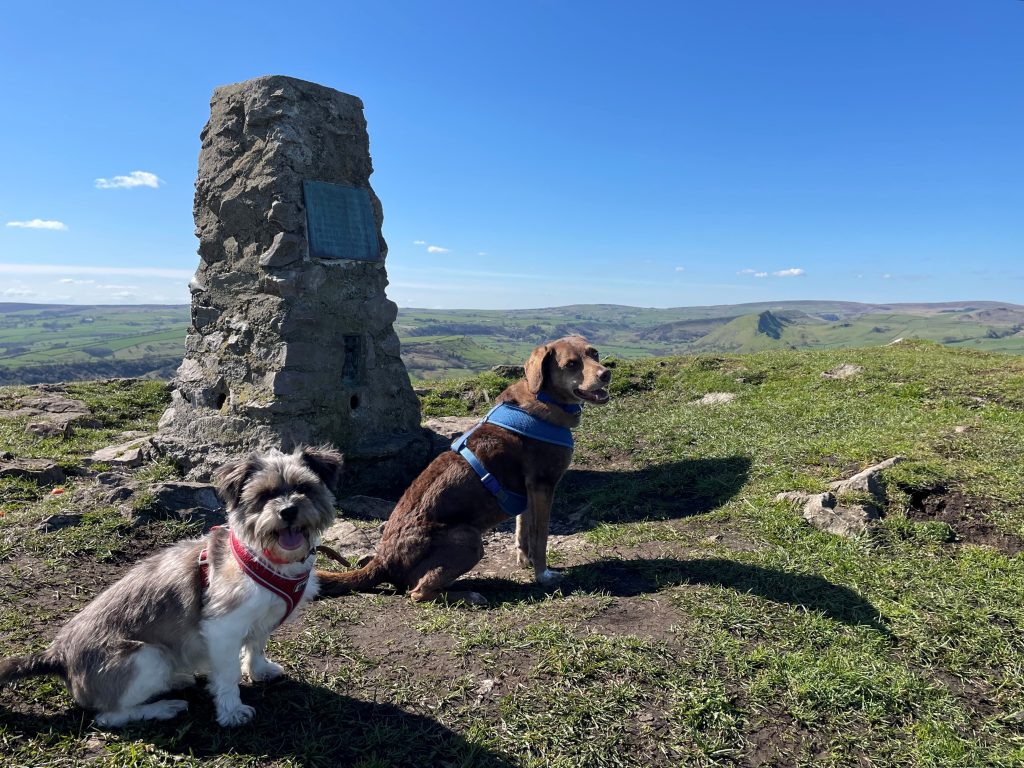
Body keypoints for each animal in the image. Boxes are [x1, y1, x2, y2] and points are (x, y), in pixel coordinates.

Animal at [0, 444, 344, 729]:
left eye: (304, 488)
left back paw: (177, 680)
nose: (288, 510)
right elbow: (228, 674)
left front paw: (259, 670)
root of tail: (58, 655)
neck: (268, 558)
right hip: (148, 657)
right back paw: (163, 707)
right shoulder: (223, 628)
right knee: (108, 716)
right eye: (264, 495)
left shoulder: (262, 617)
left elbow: (257, 644)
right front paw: (231, 711)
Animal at [317, 335, 606, 606]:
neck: (543, 398)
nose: (606, 374)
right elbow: (540, 537)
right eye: (571, 364)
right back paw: (470, 595)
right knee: (418, 592)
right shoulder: (543, 485)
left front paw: (525, 561)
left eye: (594, 353)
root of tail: (383, 561)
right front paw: (543, 575)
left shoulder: (528, 490)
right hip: (468, 538)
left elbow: (523, 530)